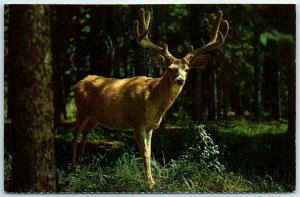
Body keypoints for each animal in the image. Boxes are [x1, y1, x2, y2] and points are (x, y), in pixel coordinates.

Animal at [71, 8, 229, 186]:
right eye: (169, 68)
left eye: (187, 69)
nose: (180, 80)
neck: (153, 100)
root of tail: (78, 83)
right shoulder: (137, 121)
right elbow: (145, 152)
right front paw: (150, 183)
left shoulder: (150, 127)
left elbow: (151, 150)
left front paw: (151, 179)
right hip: (81, 109)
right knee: (75, 133)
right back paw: (73, 165)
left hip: (95, 117)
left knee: (85, 133)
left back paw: (82, 162)